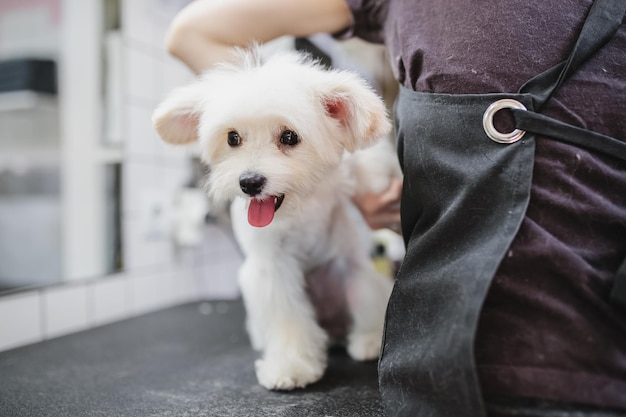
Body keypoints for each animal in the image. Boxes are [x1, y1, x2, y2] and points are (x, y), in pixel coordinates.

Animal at [151, 46, 398, 390]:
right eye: (233, 138)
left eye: (289, 136)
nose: (250, 182)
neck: (302, 201)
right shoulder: (274, 270)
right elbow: (287, 319)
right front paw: (292, 366)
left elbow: (361, 163)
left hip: (351, 276)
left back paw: (370, 339)